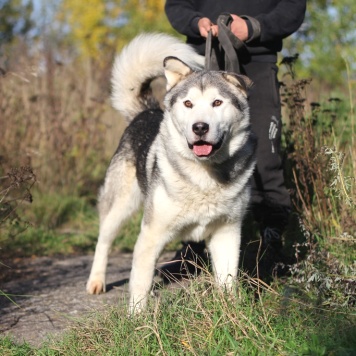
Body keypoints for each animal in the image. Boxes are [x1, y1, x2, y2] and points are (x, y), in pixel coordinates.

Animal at [87, 32, 258, 312]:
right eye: (188, 103)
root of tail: (146, 111)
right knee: (104, 240)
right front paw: (137, 319)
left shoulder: (227, 231)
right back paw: (96, 281)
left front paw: (232, 313)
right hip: (120, 205)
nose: (200, 127)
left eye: (217, 102)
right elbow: (140, 285)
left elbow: (227, 280)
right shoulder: (151, 235)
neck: (204, 176)